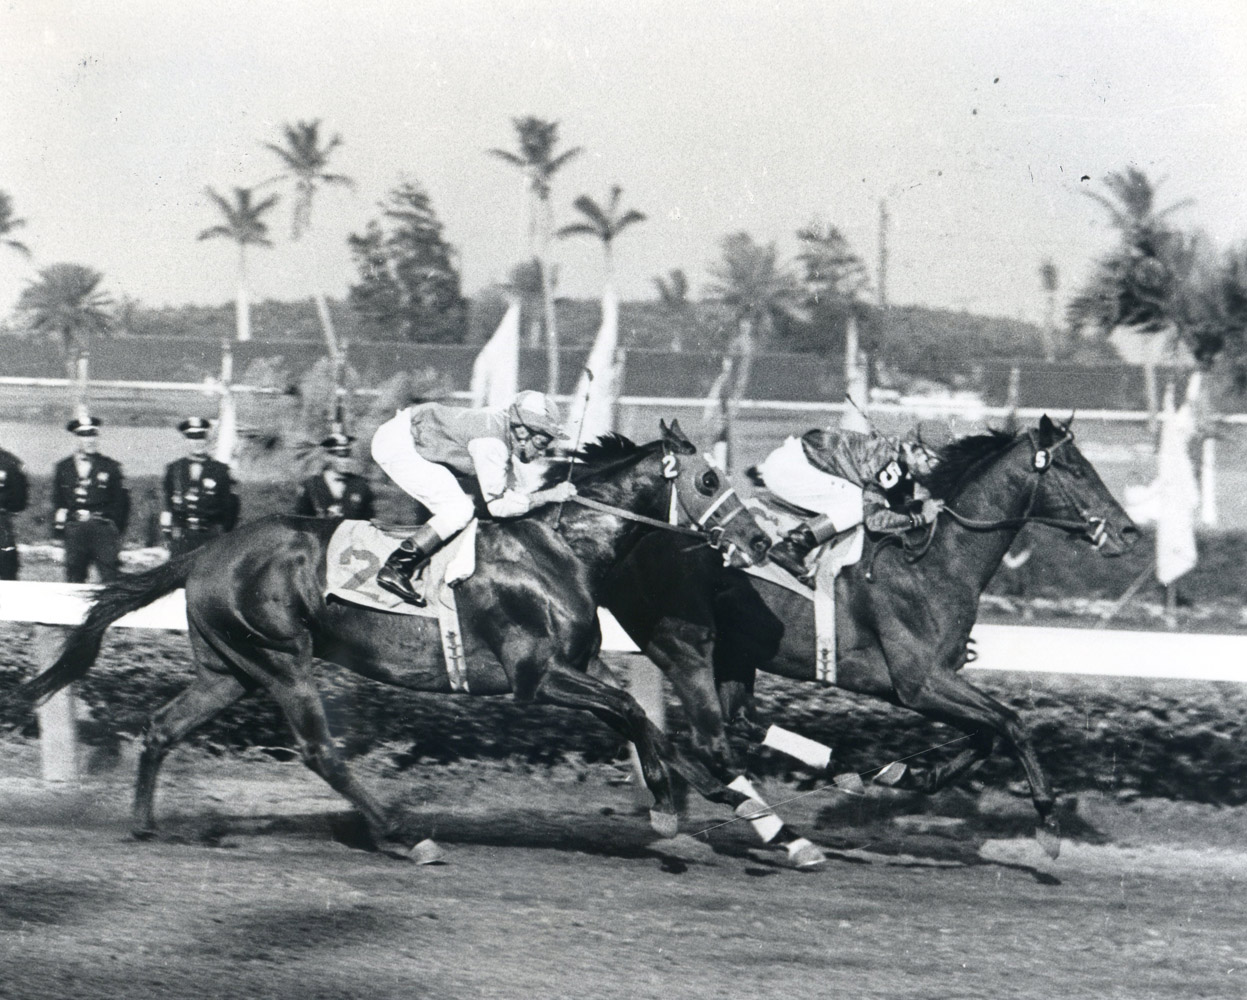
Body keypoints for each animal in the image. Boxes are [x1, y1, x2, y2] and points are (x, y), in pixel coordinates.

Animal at [19, 421, 773, 847]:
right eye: (709, 478)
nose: (764, 540)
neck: (558, 546)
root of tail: (204, 552)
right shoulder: (535, 677)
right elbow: (633, 714)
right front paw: (679, 801)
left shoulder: (577, 667)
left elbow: (635, 716)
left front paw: (705, 802)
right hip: (281, 659)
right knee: (320, 752)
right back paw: (401, 833)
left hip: (229, 670)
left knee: (161, 727)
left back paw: (145, 825)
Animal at [603, 416, 1142, 852]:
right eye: (1075, 469)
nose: (1129, 532)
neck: (936, 562)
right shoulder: (918, 682)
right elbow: (1011, 723)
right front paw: (1048, 822)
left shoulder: (922, 684)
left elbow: (986, 734)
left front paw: (913, 773)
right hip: (682, 644)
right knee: (703, 736)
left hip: (737, 653)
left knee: (736, 722)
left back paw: (838, 772)